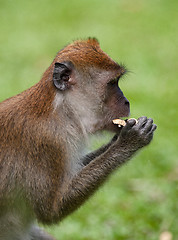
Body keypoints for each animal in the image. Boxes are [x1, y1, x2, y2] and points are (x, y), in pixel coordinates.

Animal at [0, 38, 156, 239]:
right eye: (112, 83)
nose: (127, 101)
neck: (61, 112)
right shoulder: (48, 142)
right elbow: (51, 211)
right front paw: (129, 142)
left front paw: (117, 140)